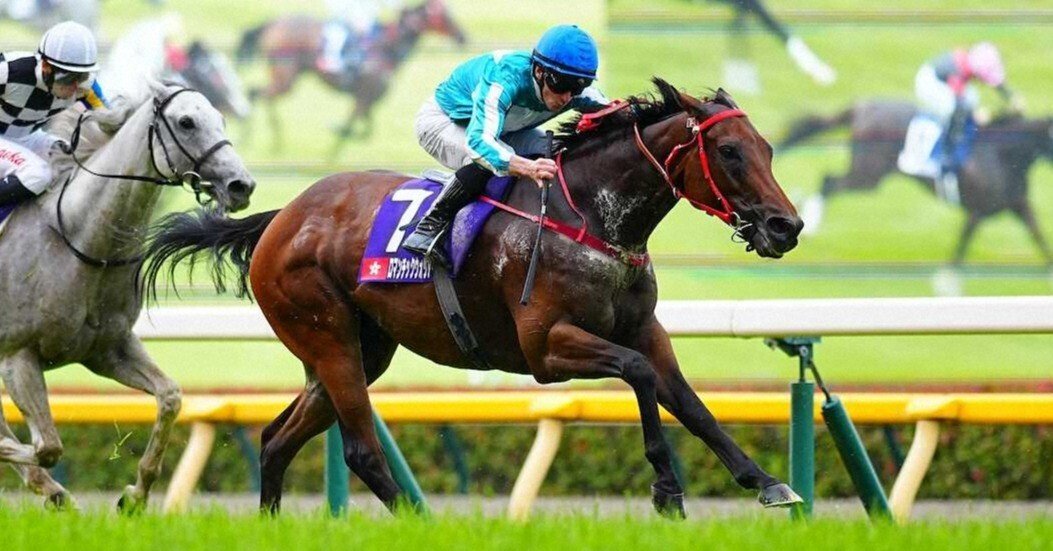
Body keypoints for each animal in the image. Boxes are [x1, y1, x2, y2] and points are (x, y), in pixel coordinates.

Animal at [0, 80, 255, 511]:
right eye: (186, 122)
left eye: (219, 118)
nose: (241, 184)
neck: (81, 240)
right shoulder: (17, 356)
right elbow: (48, 446)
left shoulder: (108, 348)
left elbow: (170, 397)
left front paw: (135, 495)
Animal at [140, 79, 803, 518]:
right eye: (728, 152)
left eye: (768, 148)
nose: (786, 227)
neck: (591, 217)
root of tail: (280, 219)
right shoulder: (546, 349)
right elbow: (639, 374)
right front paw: (666, 488)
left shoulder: (644, 328)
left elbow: (690, 403)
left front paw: (767, 481)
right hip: (327, 337)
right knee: (360, 451)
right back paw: (422, 524)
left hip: (358, 350)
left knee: (277, 440)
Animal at [236, 0, 466, 154]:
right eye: (442, 16)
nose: (463, 37)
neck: (385, 47)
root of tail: (273, 23)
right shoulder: (362, 97)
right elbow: (351, 128)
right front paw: (333, 147)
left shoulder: (367, 100)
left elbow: (364, 131)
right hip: (286, 76)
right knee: (258, 94)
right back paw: (266, 140)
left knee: (257, 93)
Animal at [780, 100, 1053, 265]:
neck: (1001, 152)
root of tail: (862, 107)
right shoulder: (978, 211)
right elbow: (959, 252)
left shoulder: (1018, 205)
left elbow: (1039, 237)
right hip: (867, 174)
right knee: (829, 181)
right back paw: (811, 223)